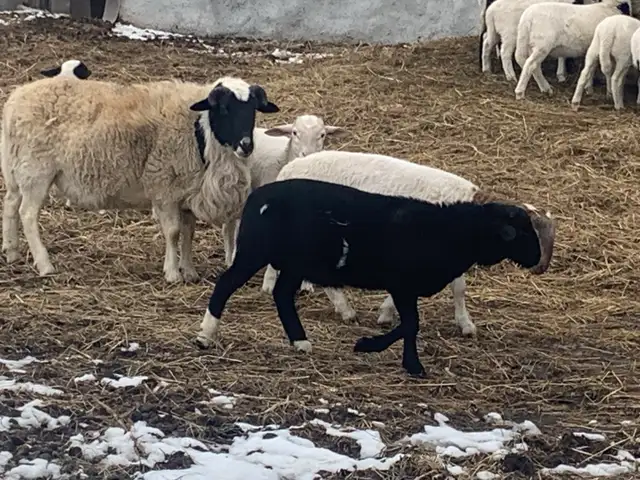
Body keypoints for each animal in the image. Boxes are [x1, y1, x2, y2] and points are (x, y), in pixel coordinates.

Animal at [1, 75, 280, 282]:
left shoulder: (185, 190)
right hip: (36, 172)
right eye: (223, 108)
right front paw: (172, 273)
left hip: (17, 170)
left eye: (253, 109)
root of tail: (14, 101)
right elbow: (174, 232)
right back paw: (44, 264)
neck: (200, 131)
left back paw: (12, 251)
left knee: (11, 205)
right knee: (27, 214)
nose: (246, 145)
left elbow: (189, 232)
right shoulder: (164, 187)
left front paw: (189, 271)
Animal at [195, 178, 551, 377]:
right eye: (521, 231)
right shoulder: (402, 284)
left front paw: (408, 364)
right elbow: (410, 324)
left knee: (282, 294)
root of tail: (257, 198)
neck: (452, 231)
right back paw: (205, 336)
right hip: (255, 251)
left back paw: (301, 342)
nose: (537, 259)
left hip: (294, 263)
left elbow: (409, 325)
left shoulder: (404, 287)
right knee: (226, 284)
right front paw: (373, 348)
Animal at [260, 151, 556, 338]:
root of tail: (287, 170)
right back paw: (344, 310)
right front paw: (386, 315)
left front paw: (465, 325)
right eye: (525, 232)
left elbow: (458, 288)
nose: (537, 266)